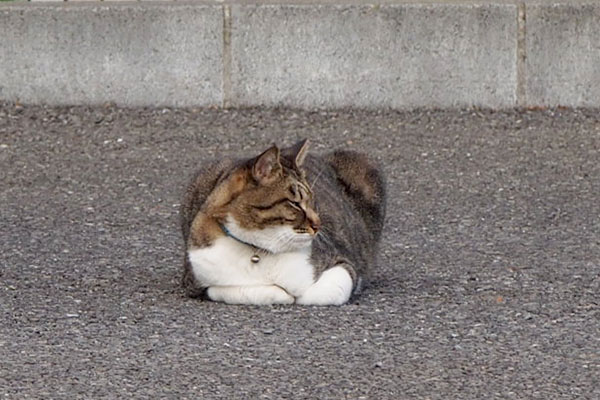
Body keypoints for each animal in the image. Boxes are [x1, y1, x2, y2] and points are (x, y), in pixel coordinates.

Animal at [179, 139, 384, 304]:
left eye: (312, 200)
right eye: (295, 203)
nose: (318, 225)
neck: (258, 250)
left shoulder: (343, 262)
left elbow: (322, 292)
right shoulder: (195, 281)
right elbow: (237, 290)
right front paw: (281, 293)